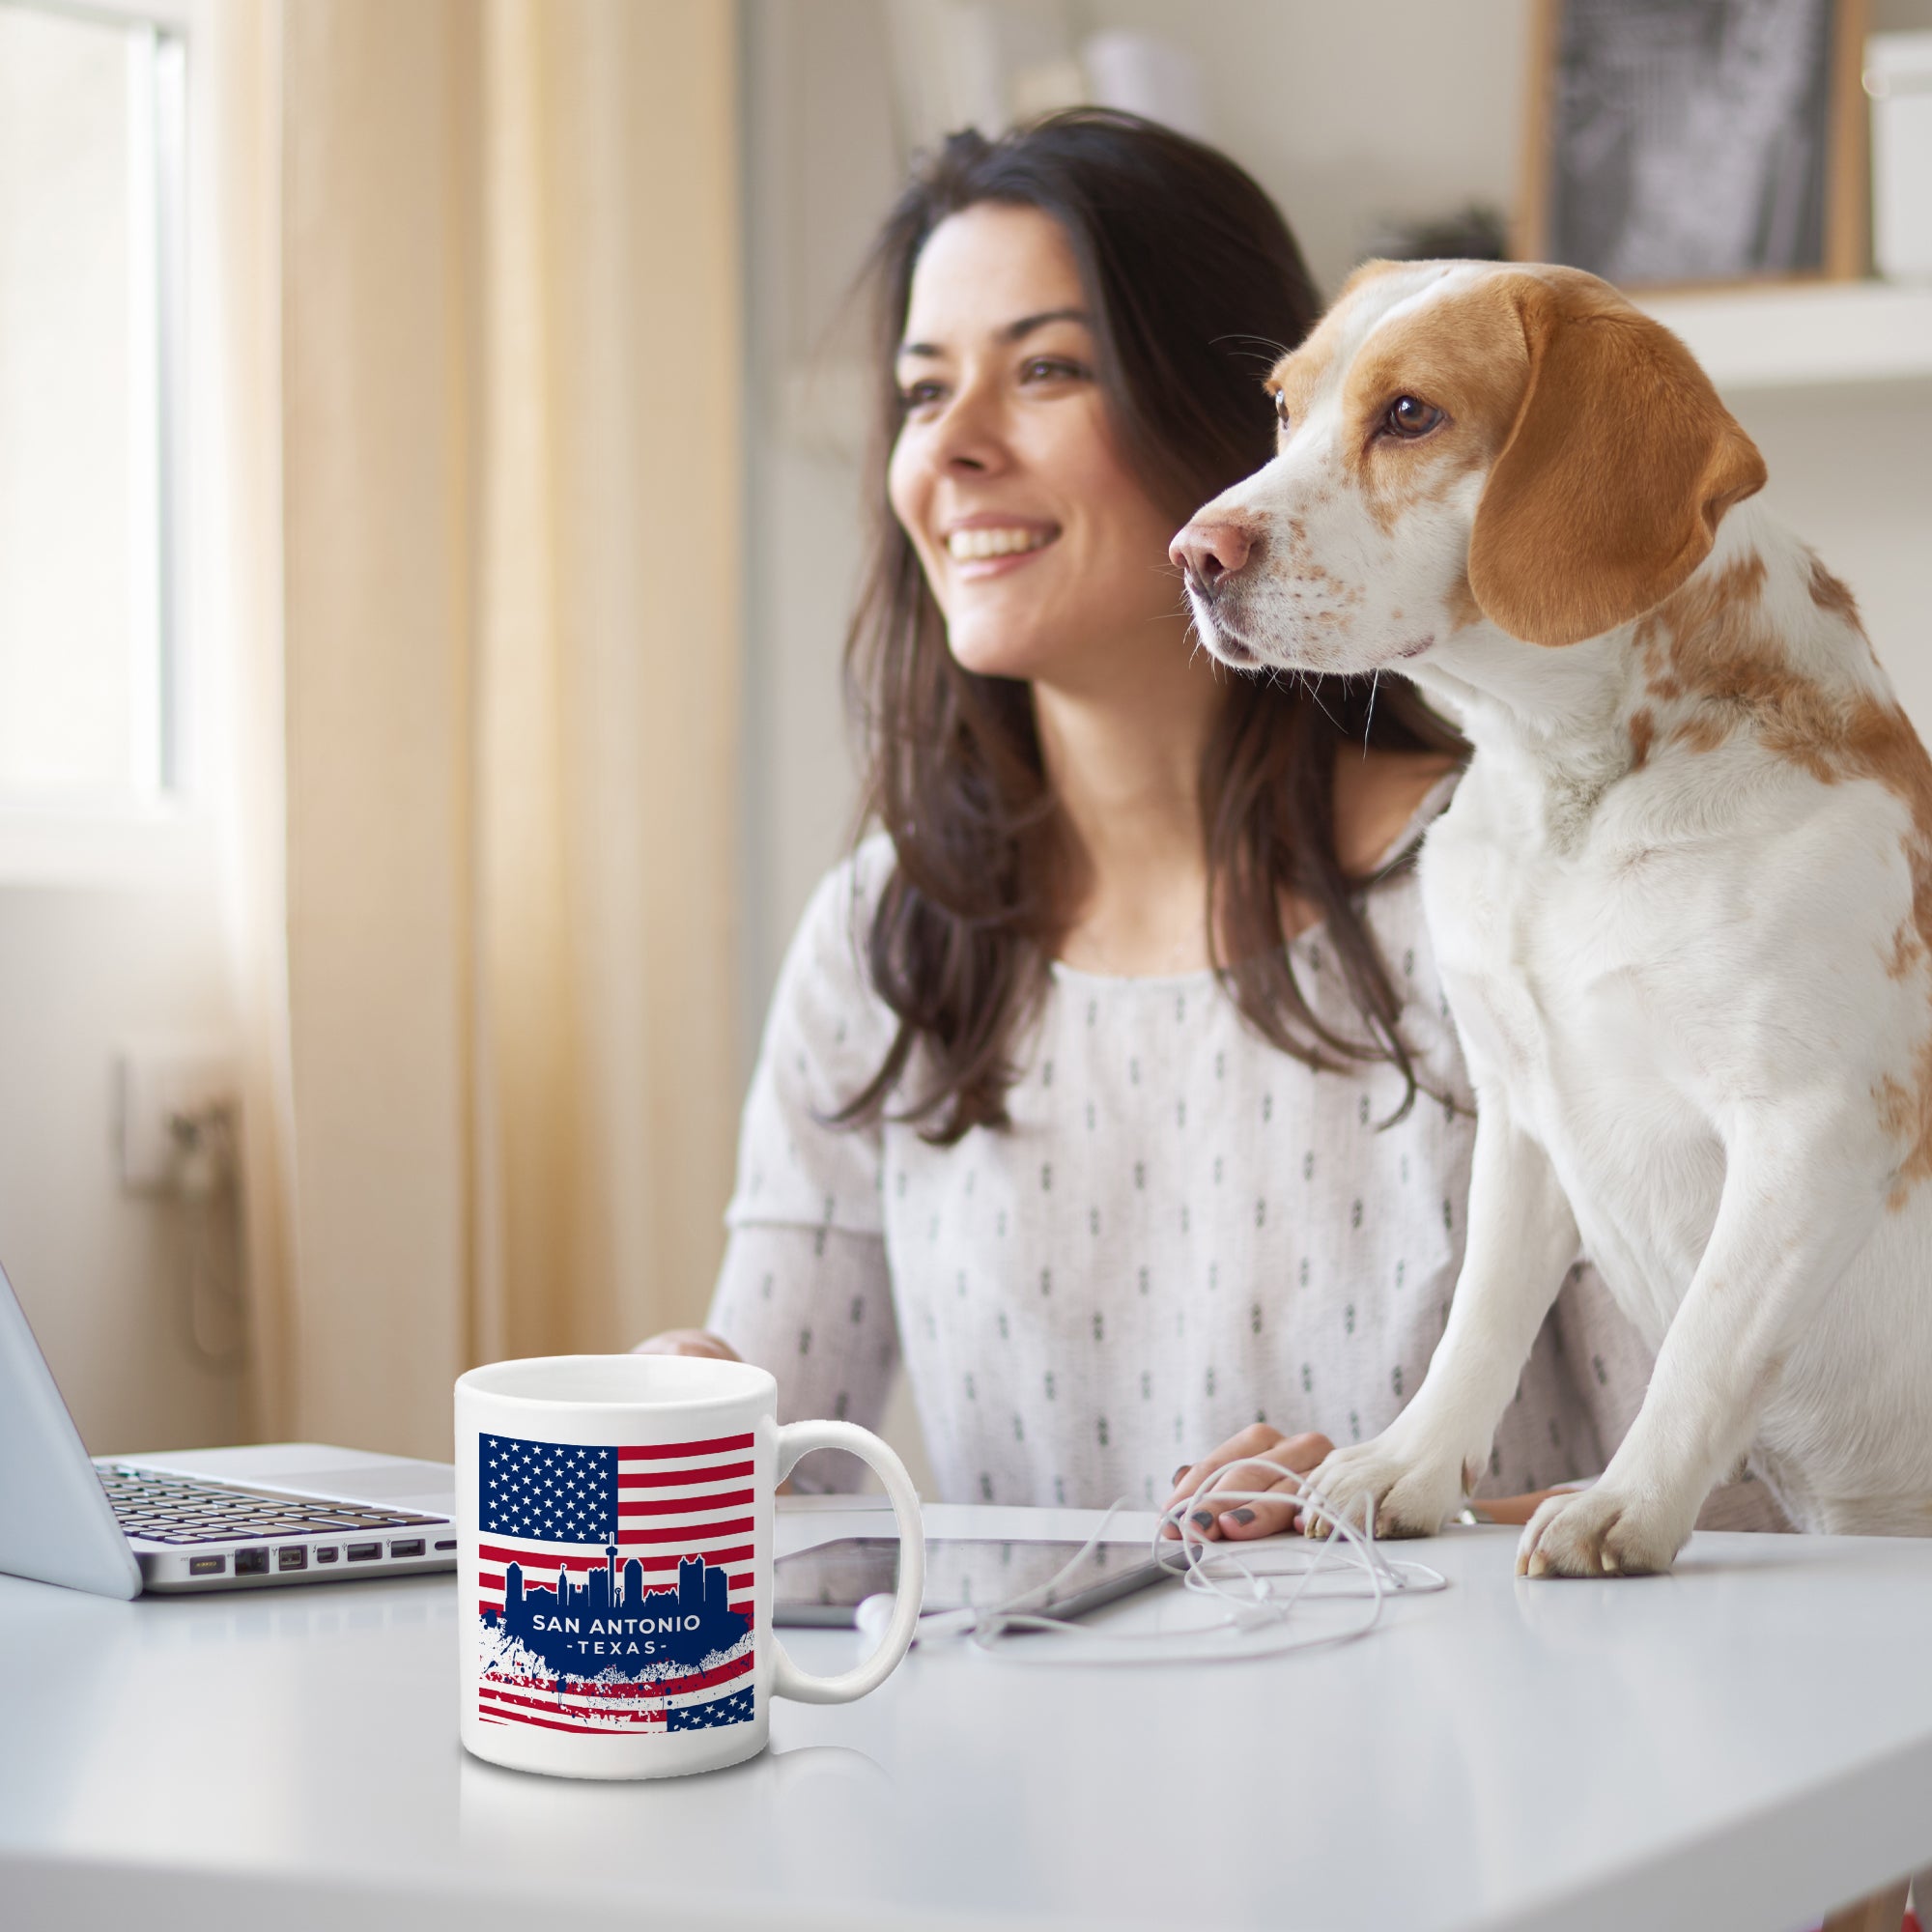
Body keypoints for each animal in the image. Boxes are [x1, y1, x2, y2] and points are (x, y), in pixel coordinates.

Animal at [1167, 261, 1932, 1584]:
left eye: (1408, 414)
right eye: (1280, 405)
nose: (1191, 553)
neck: (1566, 798)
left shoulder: (1811, 1126)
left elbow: (1705, 1340)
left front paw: (1625, 1502)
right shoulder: (1520, 1110)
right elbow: (1477, 1319)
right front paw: (1405, 1466)